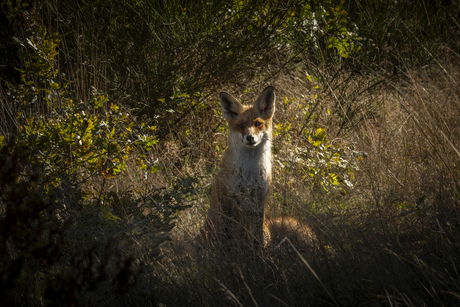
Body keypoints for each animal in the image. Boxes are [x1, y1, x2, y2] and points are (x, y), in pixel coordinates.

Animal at [203, 85, 274, 251]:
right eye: (240, 125)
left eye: (258, 123)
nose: (250, 138)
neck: (250, 172)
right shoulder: (227, 200)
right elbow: (227, 234)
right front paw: (228, 252)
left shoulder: (260, 200)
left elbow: (257, 234)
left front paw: (258, 252)